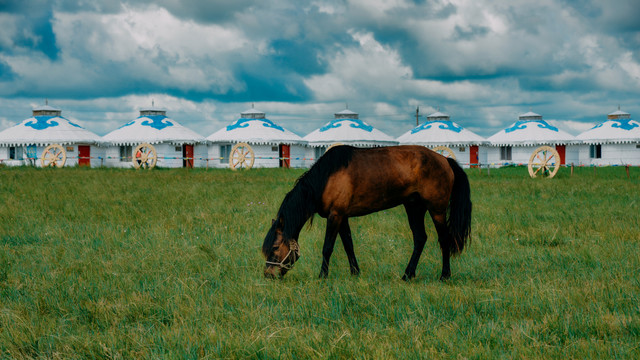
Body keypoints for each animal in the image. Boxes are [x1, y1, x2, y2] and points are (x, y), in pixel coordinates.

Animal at [260, 145, 470, 280]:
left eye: (275, 248)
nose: (269, 274)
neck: (326, 178)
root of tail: (445, 160)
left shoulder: (335, 215)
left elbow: (327, 247)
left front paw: (322, 276)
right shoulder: (342, 217)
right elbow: (348, 245)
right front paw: (355, 273)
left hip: (436, 210)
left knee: (444, 239)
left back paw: (444, 275)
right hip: (414, 207)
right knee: (420, 238)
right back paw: (407, 275)